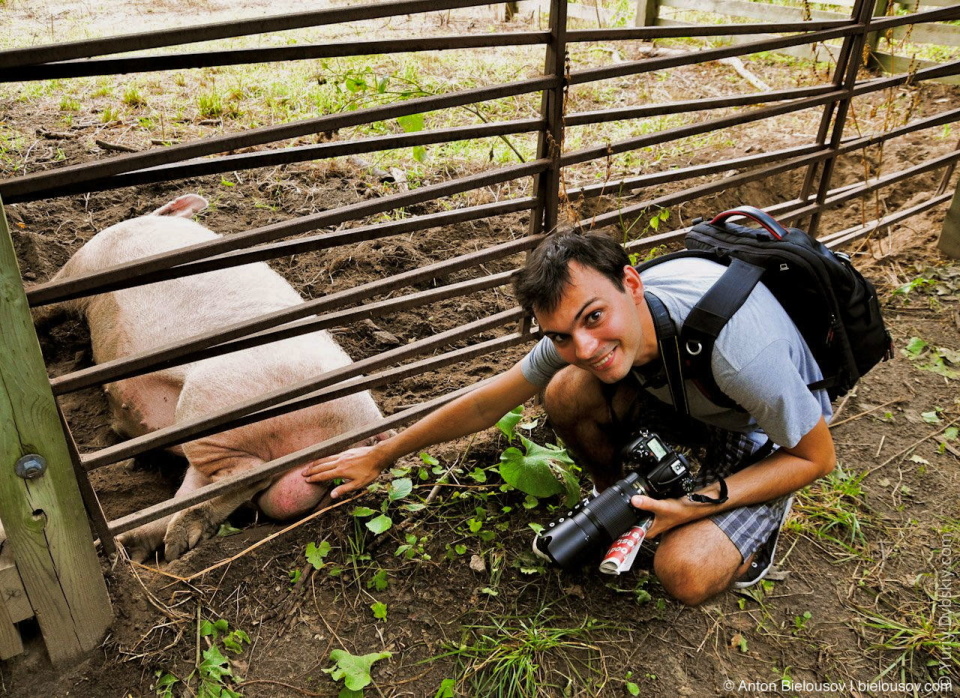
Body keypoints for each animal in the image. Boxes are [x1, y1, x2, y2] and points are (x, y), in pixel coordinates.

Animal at [49, 194, 386, 560]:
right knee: (200, 491)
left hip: (208, 406)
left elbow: (48, 302)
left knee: (248, 474)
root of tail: (369, 426)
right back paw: (155, 548)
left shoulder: (83, 263)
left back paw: (167, 542)